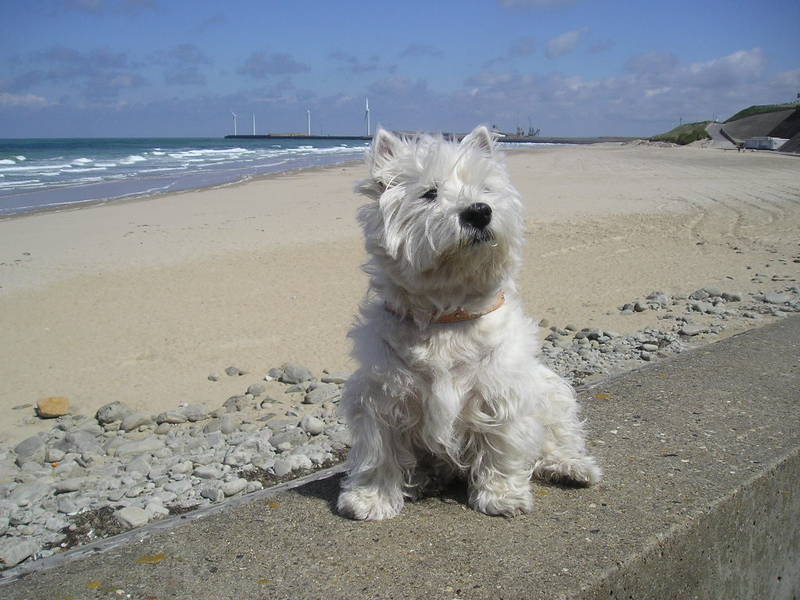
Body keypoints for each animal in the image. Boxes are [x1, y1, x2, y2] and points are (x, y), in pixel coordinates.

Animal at [336, 126, 600, 520]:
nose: (479, 212)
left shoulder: (500, 393)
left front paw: (502, 497)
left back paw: (572, 467)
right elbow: (378, 451)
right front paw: (370, 499)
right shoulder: (382, 396)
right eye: (429, 193)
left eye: (486, 189)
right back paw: (425, 479)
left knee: (558, 439)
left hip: (553, 394)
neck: (447, 314)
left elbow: (501, 447)